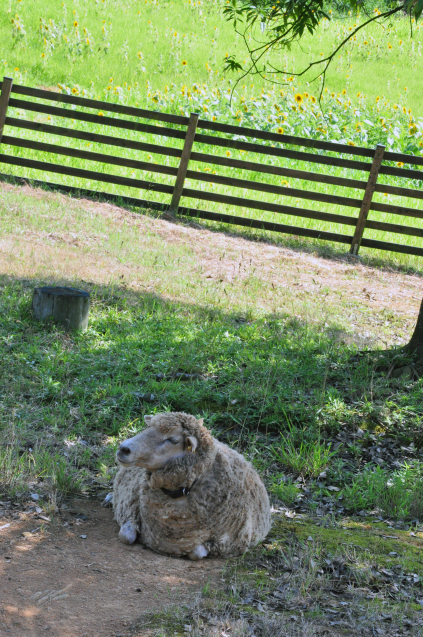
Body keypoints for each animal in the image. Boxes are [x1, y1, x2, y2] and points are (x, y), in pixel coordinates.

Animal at [107, 412, 270, 556]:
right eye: (148, 428)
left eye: (172, 440)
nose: (123, 448)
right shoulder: (131, 510)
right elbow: (126, 536)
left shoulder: (227, 543)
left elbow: (196, 553)